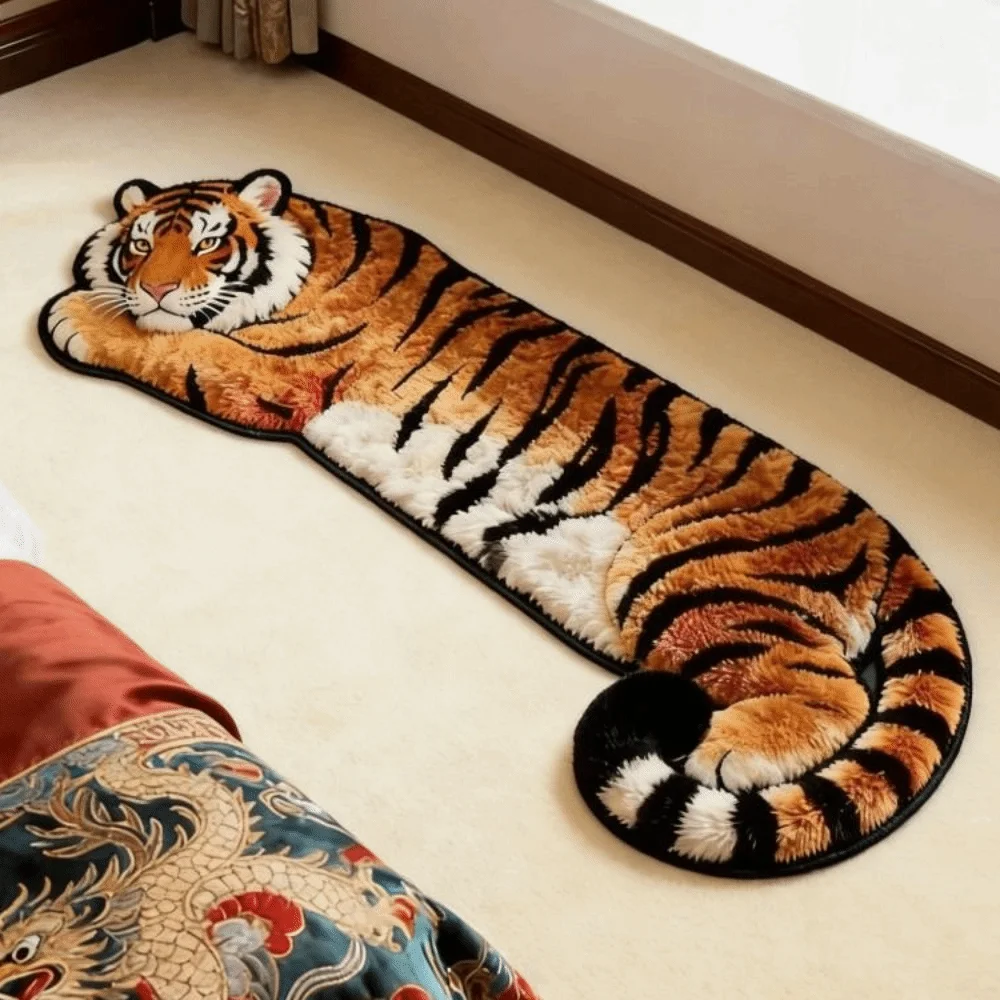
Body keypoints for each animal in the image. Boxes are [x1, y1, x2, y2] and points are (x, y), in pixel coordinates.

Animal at [39, 170, 971, 876]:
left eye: (207, 243)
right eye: (139, 243)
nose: (156, 285)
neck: (310, 245)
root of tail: (891, 541)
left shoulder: (273, 376)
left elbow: (168, 344)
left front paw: (73, 314)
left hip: (692, 574)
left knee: (831, 688)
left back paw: (726, 750)